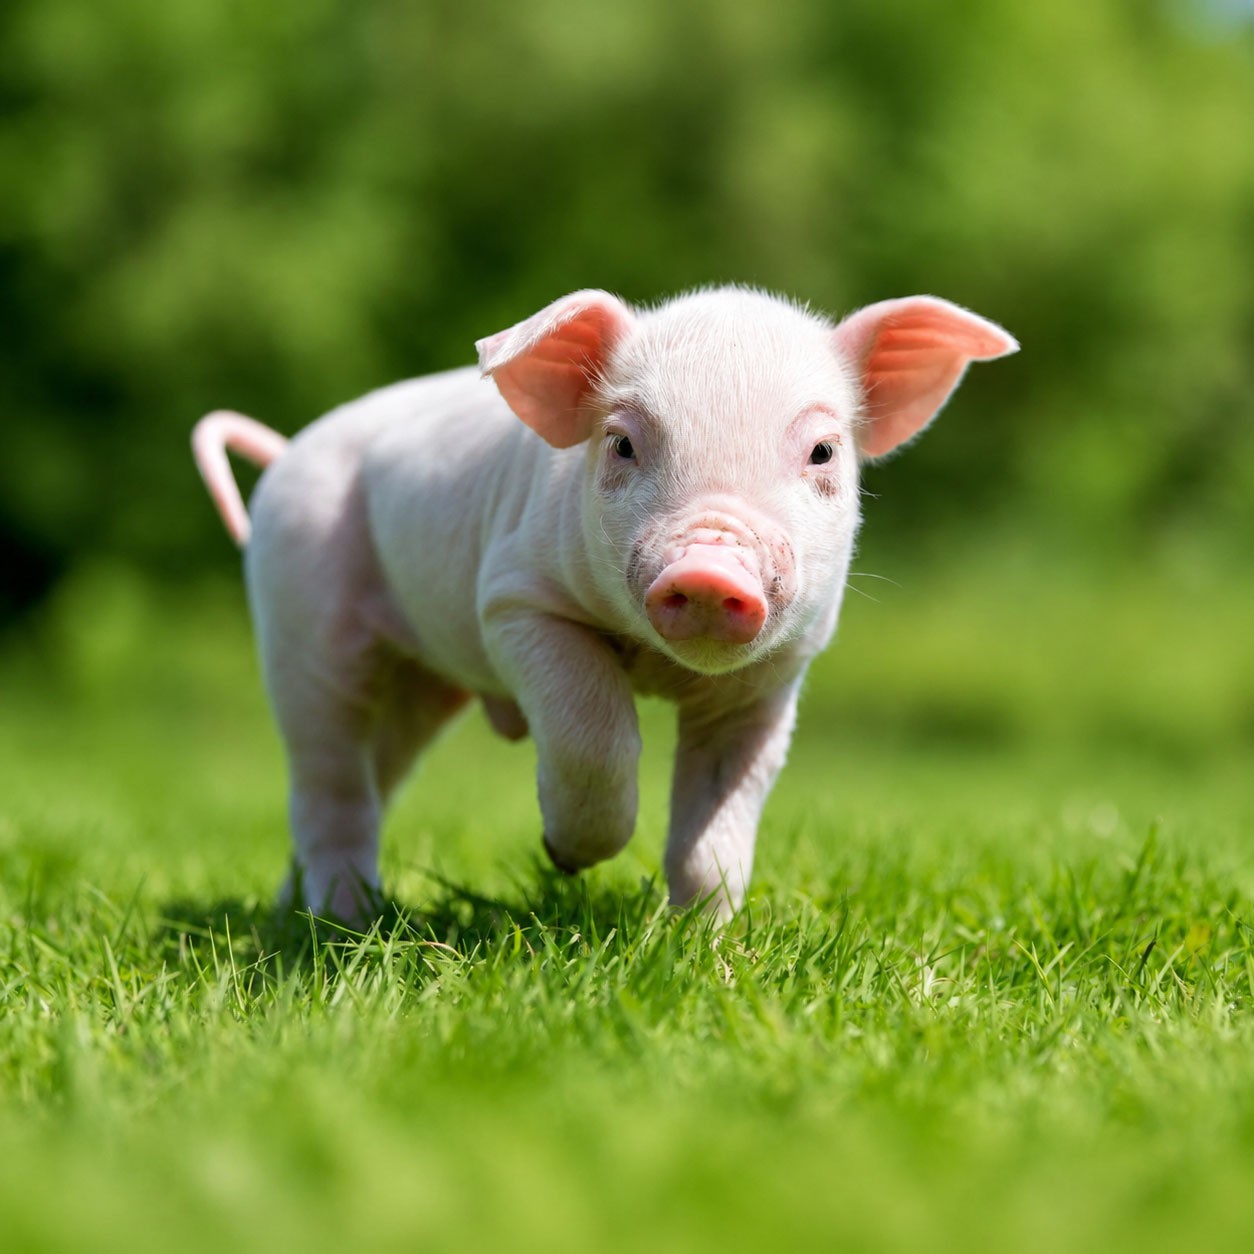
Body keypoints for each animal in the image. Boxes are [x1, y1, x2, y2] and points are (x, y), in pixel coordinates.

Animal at [192, 286, 1016, 923]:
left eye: (824, 452)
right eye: (621, 444)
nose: (710, 567)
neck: (659, 668)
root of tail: (287, 451)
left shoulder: (776, 675)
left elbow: (718, 822)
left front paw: (706, 942)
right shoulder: (517, 600)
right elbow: (596, 733)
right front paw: (567, 859)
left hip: (419, 685)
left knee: (377, 773)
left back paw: (300, 910)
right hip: (302, 620)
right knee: (325, 778)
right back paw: (341, 920)